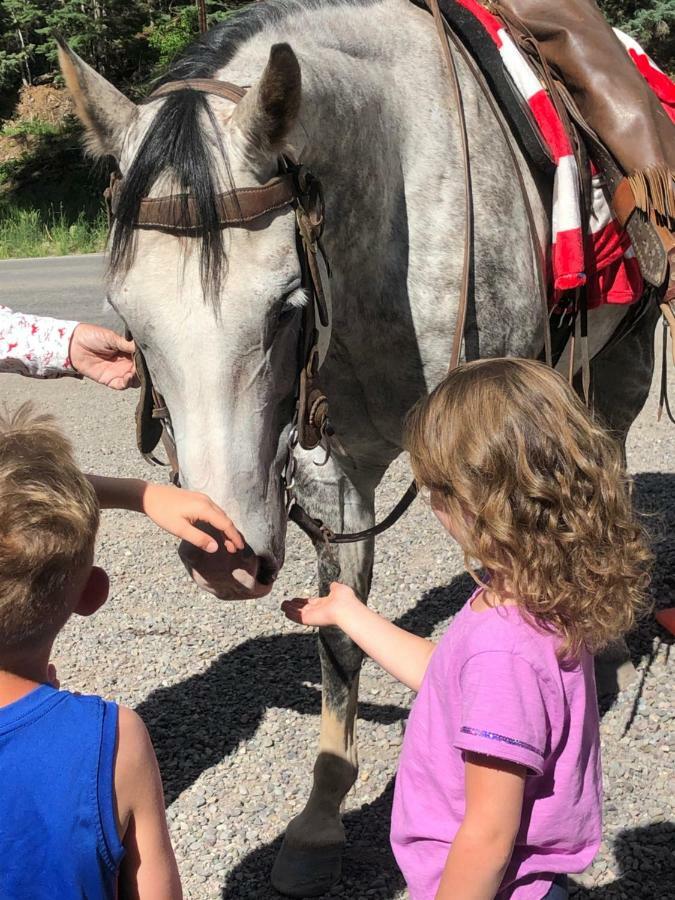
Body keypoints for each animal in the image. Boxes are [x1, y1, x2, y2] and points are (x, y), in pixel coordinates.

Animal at [58, 0, 660, 892]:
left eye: (285, 305)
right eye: (124, 311)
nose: (223, 556)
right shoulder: (331, 470)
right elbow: (341, 634)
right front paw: (317, 822)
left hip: (629, 349)